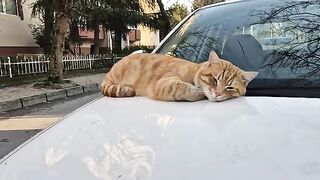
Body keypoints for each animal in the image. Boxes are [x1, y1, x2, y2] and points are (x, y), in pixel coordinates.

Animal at [101, 51, 258, 101]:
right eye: (214, 79)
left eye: (230, 87)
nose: (217, 94)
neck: (194, 71)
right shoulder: (160, 84)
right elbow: (181, 86)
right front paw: (197, 92)